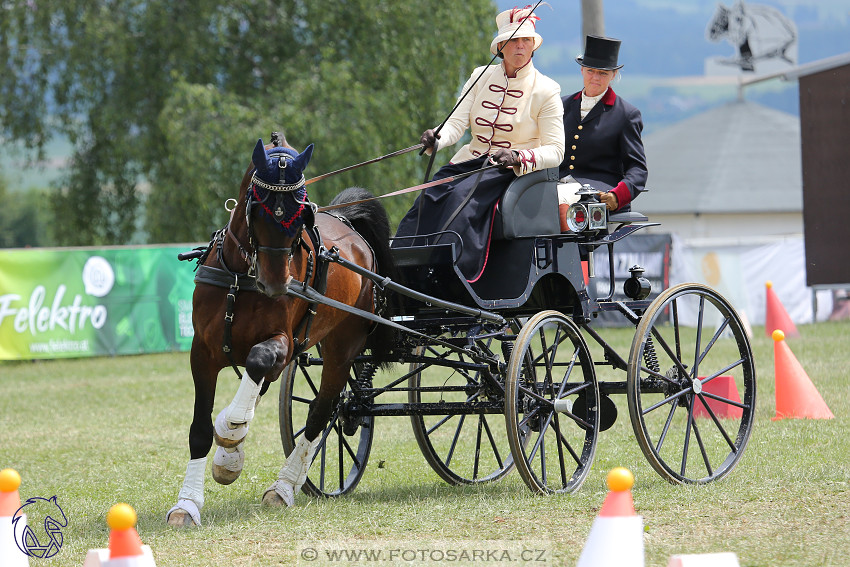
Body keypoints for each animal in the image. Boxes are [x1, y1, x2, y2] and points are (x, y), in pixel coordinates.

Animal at [167, 134, 396, 528]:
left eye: (301, 214)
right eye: (258, 210)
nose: (276, 285)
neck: (241, 278)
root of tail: (347, 222)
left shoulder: (283, 344)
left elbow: (258, 365)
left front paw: (230, 430)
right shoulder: (203, 352)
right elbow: (200, 429)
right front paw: (189, 502)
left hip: (342, 347)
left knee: (323, 411)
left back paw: (285, 485)